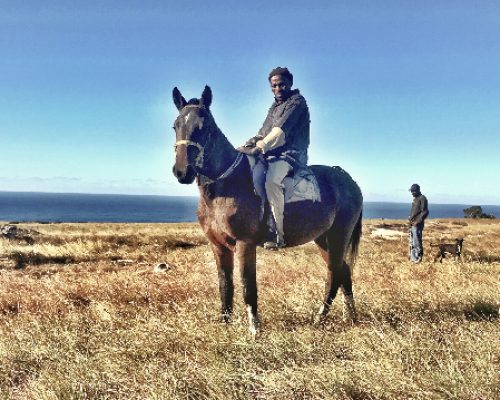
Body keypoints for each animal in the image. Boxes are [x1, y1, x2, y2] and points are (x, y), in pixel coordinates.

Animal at [172, 85, 364, 334]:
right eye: (175, 125)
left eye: (204, 127)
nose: (182, 172)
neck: (225, 186)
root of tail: (349, 180)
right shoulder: (218, 246)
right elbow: (225, 285)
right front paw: (225, 324)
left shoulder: (244, 243)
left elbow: (247, 285)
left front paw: (255, 329)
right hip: (324, 239)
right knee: (343, 271)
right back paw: (351, 317)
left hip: (339, 236)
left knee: (333, 275)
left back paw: (320, 318)